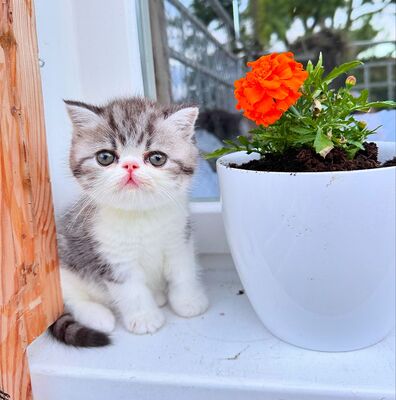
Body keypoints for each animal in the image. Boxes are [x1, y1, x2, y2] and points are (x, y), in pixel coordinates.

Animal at [50, 97, 207, 346]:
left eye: (157, 158)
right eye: (105, 157)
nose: (130, 165)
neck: (140, 215)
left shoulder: (179, 238)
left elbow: (183, 271)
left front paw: (188, 301)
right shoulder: (112, 254)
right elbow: (131, 290)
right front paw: (145, 318)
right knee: (70, 299)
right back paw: (98, 316)